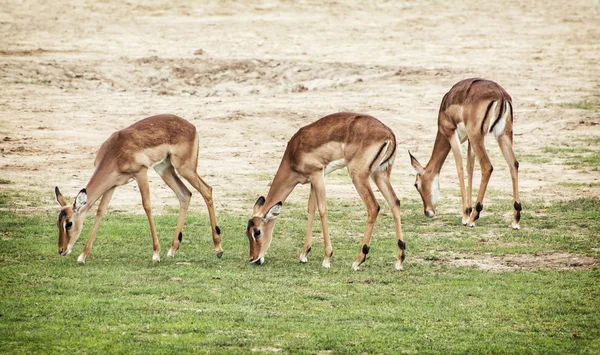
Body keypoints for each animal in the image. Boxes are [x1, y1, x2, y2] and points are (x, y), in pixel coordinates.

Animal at [53, 114, 223, 264]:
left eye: (69, 223)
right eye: (57, 222)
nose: (61, 250)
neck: (115, 152)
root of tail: (192, 127)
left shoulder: (140, 173)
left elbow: (147, 205)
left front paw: (155, 254)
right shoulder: (112, 185)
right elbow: (100, 211)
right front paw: (82, 256)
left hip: (184, 168)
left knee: (207, 190)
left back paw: (218, 249)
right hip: (164, 169)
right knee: (185, 194)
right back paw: (172, 250)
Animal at [245, 112, 408, 272]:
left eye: (257, 231)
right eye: (247, 232)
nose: (253, 259)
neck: (293, 153)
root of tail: (389, 133)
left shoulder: (317, 175)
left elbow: (322, 210)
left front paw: (327, 258)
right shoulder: (313, 180)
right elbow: (311, 209)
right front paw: (304, 255)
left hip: (358, 176)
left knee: (373, 207)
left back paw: (358, 261)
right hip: (380, 174)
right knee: (395, 202)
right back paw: (399, 261)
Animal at [408, 78, 520, 229]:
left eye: (416, 184)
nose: (428, 212)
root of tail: (500, 94)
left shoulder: (451, 135)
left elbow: (460, 168)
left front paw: (465, 216)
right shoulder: (468, 142)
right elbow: (469, 169)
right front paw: (468, 210)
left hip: (477, 136)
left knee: (487, 167)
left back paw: (474, 217)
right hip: (503, 135)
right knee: (514, 164)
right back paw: (515, 220)